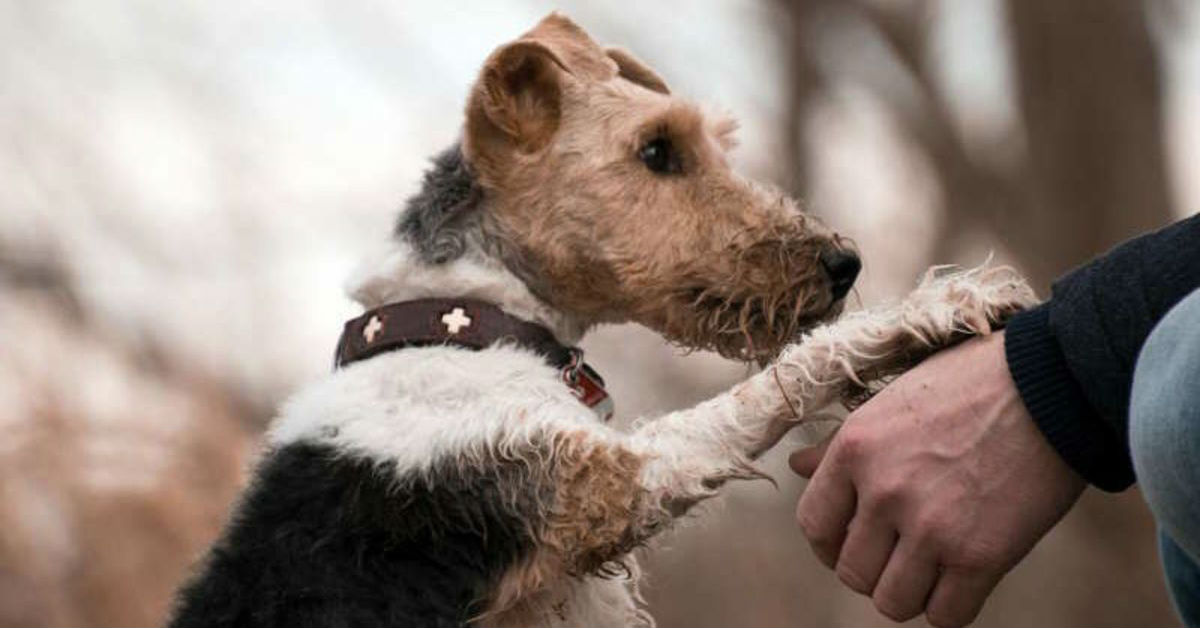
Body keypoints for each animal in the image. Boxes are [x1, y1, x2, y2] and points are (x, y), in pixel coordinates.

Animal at [166, 14, 1032, 628]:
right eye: (656, 150)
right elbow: (773, 384)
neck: (466, 321)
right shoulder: (612, 480)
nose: (842, 263)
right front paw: (944, 306)